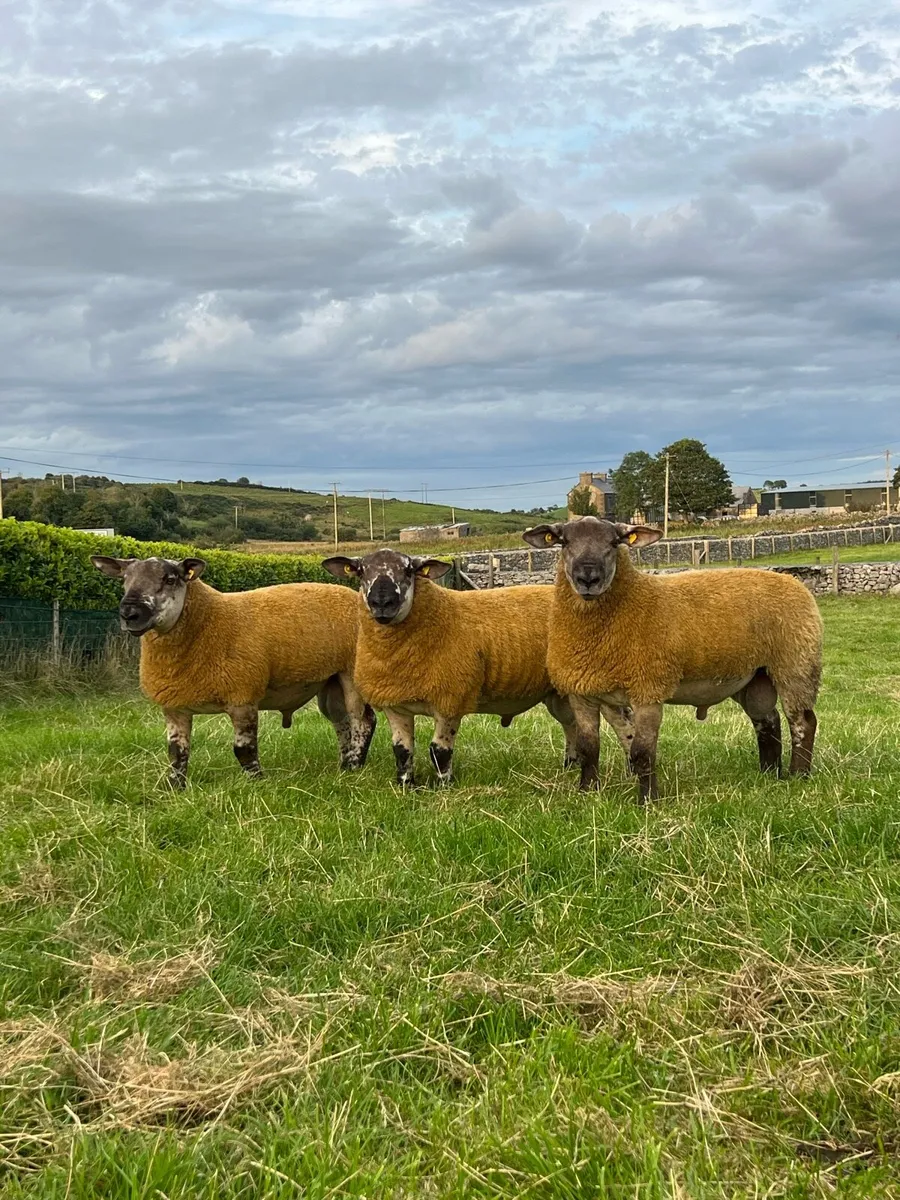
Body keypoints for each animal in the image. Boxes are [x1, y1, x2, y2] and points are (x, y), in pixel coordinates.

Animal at [91, 555, 375, 787]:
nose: (129, 613)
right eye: (124, 579)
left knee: (361, 721)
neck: (208, 621)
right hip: (330, 682)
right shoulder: (174, 705)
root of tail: (354, 595)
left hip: (351, 673)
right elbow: (177, 752)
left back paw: (354, 767)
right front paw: (174, 788)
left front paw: (258, 782)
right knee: (343, 722)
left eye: (170, 579)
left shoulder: (243, 696)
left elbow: (244, 749)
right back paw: (344, 767)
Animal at [321, 549, 576, 786]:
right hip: (558, 693)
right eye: (361, 571)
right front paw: (405, 785)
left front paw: (444, 786)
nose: (382, 603)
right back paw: (570, 766)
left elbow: (439, 751)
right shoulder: (395, 703)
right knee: (571, 724)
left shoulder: (450, 699)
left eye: (408, 570)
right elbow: (402, 750)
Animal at [522, 517, 823, 801]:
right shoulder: (581, 691)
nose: (588, 578)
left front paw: (647, 801)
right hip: (755, 676)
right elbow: (588, 747)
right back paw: (769, 773)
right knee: (767, 720)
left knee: (802, 722)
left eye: (614, 542)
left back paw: (798, 776)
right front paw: (587, 793)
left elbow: (642, 752)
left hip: (795, 663)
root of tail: (793, 582)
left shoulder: (648, 689)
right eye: (564, 542)